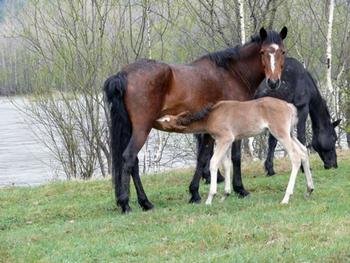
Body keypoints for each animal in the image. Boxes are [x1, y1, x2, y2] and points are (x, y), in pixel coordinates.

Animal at [103, 26, 288, 213]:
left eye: (282, 52)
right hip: (142, 129)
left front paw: (194, 193)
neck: (232, 73)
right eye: (263, 52)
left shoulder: (208, 129)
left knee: (133, 162)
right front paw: (240, 189)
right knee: (129, 158)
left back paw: (144, 203)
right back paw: (126, 204)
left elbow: (202, 157)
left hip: (131, 129)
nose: (273, 82)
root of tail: (123, 74)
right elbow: (234, 157)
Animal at [157, 97, 314, 206]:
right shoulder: (226, 141)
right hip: (290, 134)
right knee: (303, 152)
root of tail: (289, 106)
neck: (211, 115)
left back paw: (286, 197)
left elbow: (214, 162)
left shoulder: (224, 139)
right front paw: (225, 194)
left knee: (295, 156)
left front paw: (210, 198)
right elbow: (226, 164)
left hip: (280, 133)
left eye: (166, 120)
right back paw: (309, 189)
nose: (156, 119)